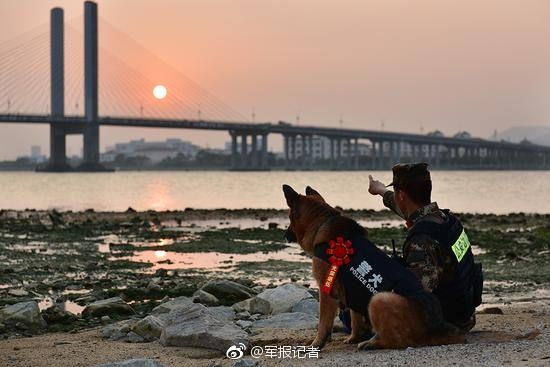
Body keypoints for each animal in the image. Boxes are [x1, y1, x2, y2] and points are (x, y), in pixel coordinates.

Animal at [284, 184, 466, 350]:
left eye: (289, 219)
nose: (285, 235)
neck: (322, 222)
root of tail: (432, 328)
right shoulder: (352, 290)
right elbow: (355, 318)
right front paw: (353, 338)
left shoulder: (327, 291)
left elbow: (323, 324)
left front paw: (316, 344)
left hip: (378, 299)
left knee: (397, 341)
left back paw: (371, 343)